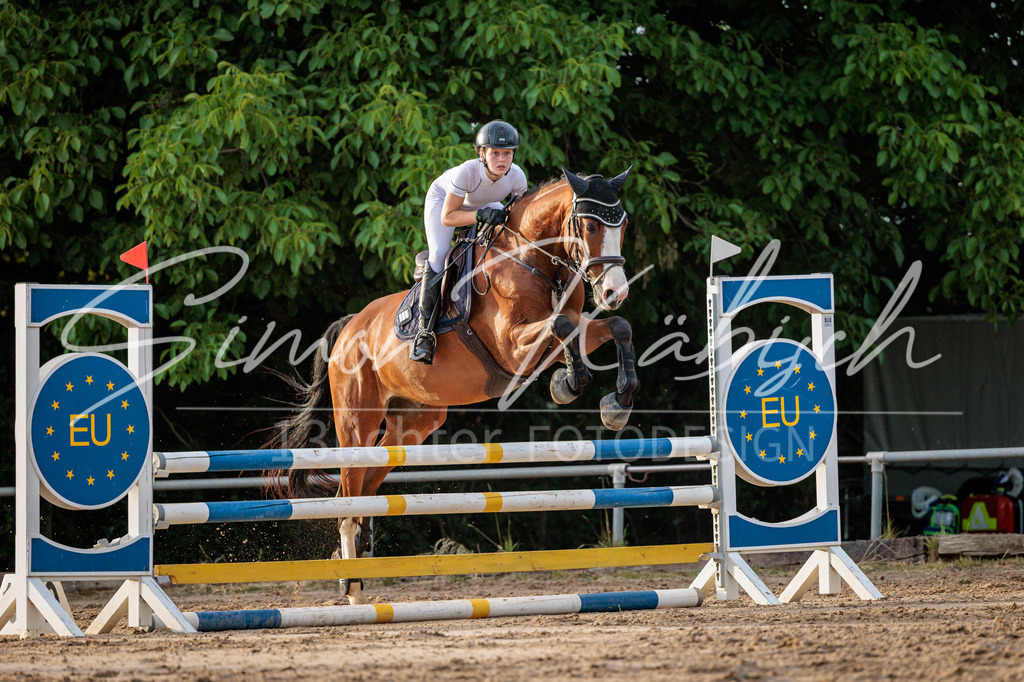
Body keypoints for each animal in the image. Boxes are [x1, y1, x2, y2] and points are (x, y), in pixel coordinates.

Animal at [270, 167, 641, 605]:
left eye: (624, 225)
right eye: (589, 225)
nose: (615, 292)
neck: (532, 259)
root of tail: (349, 327)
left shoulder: (561, 332)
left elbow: (614, 326)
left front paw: (615, 404)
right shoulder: (512, 345)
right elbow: (562, 325)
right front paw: (569, 383)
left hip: (412, 424)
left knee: (366, 487)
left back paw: (352, 569)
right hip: (357, 421)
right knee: (348, 495)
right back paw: (355, 591)